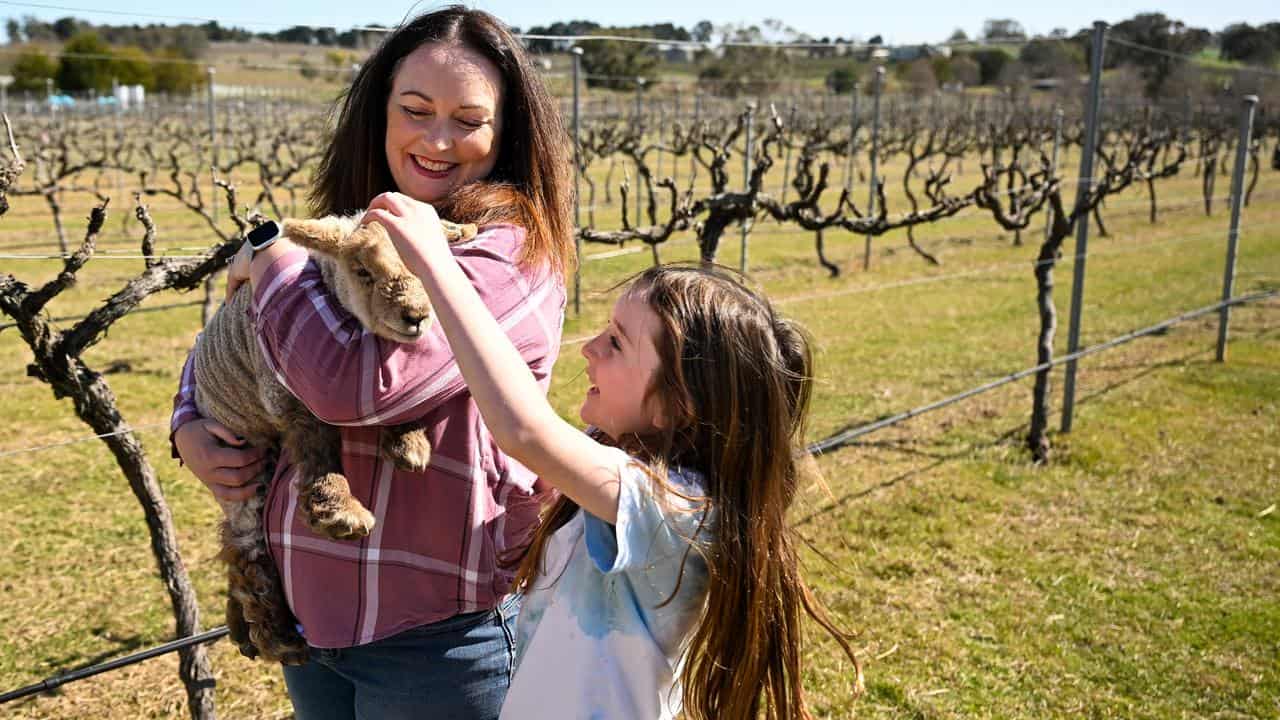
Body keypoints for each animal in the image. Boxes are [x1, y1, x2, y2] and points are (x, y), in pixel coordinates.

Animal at [197, 213, 478, 661]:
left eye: (432, 263)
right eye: (363, 271)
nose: (416, 315)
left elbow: (387, 394)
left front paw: (407, 441)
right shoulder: (285, 395)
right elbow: (318, 451)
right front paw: (341, 512)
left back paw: (241, 627)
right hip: (240, 455)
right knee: (245, 547)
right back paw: (276, 636)